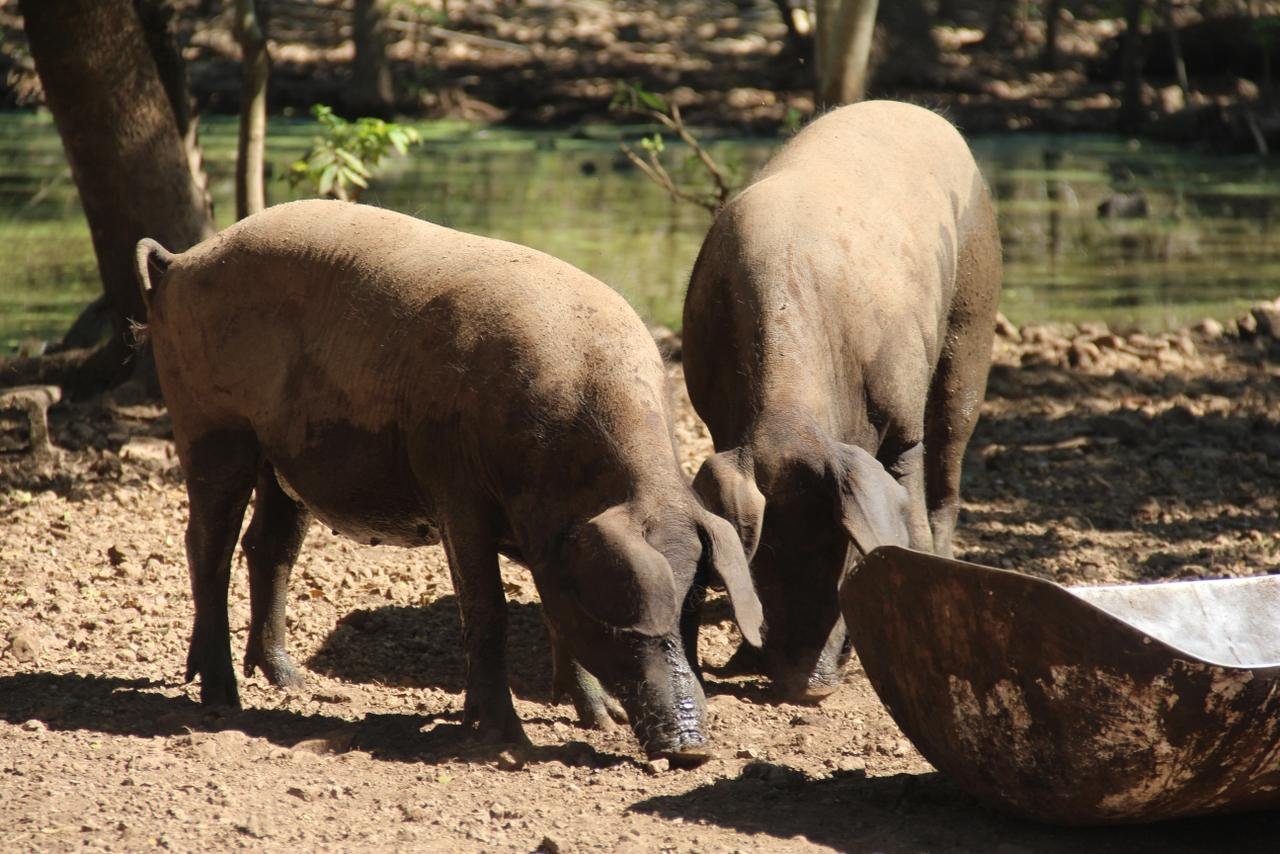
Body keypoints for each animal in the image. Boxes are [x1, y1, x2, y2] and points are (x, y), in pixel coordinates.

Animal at [133, 199, 763, 763]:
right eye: (625, 623)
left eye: (691, 613)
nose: (693, 750)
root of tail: (178, 262)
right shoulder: (455, 490)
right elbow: (487, 611)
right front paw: (504, 741)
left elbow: (552, 615)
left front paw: (599, 722)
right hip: (210, 426)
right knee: (207, 546)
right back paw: (222, 700)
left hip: (284, 462)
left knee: (268, 547)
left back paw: (293, 684)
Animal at [682, 100, 1002, 702]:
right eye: (764, 560)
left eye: (841, 546)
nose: (804, 686)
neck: (790, 415)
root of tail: (917, 110)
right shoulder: (717, 421)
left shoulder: (900, 424)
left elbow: (907, 509)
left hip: (974, 311)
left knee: (948, 466)